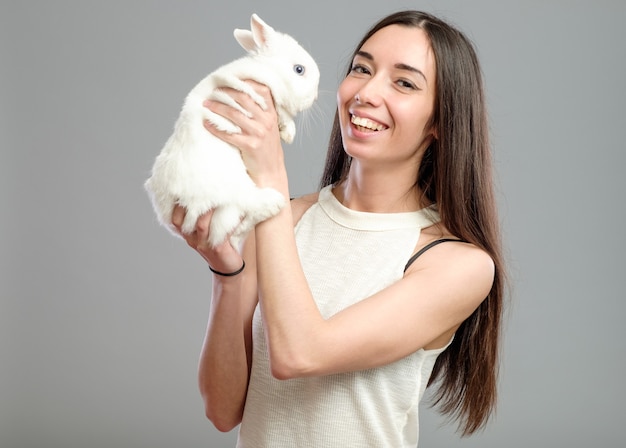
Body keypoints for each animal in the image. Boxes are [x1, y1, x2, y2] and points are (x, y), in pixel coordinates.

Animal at [145, 14, 316, 250]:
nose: (315, 96)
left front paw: (286, 133)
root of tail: (169, 204)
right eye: (299, 69)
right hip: (233, 185)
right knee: (249, 204)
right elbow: (280, 108)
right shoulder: (259, 88)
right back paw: (276, 202)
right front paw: (289, 131)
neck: (266, 69)